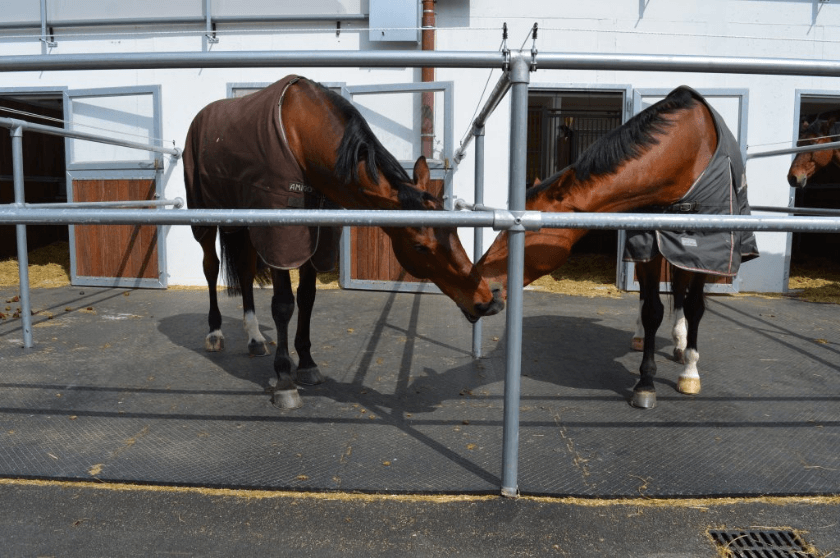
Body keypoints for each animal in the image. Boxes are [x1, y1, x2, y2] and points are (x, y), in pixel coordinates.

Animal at [183, 75, 504, 409]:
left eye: (454, 230)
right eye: (419, 246)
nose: (487, 300)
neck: (301, 135)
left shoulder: (317, 236)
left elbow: (307, 298)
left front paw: (307, 364)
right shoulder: (281, 236)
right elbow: (283, 305)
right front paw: (284, 379)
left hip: (243, 225)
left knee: (245, 272)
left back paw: (255, 338)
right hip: (205, 221)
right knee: (211, 267)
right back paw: (215, 333)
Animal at [474, 86, 758, 409]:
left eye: (525, 231)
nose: (480, 288)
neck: (685, 154)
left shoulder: (707, 251)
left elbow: (694, 307)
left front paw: (689, 372)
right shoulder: (648, 245)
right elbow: (652, 310)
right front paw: (645, 383)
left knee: (681, 295)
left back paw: (680, 344)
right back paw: (643, 337)